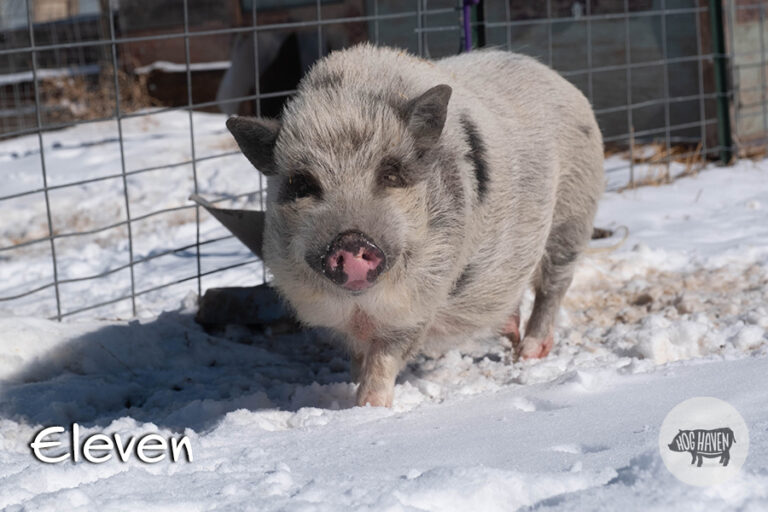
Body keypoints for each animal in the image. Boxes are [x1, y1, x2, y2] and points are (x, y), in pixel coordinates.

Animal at [225, 44, 604, 406]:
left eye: (391, 174)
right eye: (303, 184)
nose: (350, 241)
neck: (361, 305)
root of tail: (558, 79)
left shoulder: (421, 298)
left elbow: (388, 355)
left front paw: (368, 407)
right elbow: (359, 355)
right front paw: (353, 385)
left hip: (573, 214)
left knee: (553, 286)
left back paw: (528, 354)